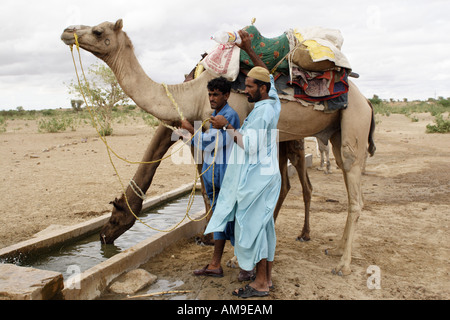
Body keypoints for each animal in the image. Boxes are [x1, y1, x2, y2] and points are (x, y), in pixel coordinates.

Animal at [59, 19, 376, 276]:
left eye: (98, 31)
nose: (103, 237)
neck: (192, 93)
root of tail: (367, 101)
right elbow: (211, 189)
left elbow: (222, 192)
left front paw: (222, 249)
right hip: (332, 133)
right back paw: (334, 248)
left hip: (352, 123)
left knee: (353, 192)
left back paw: (342, 264)